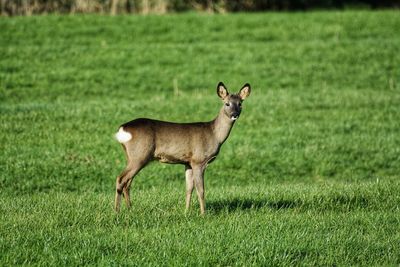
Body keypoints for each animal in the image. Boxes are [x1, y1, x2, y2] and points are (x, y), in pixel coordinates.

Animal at [113, 81, 250, 216]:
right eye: (227, 103)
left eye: (240, 104)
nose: (234, 115)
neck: (214, 134)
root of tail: (122, 129)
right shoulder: (199, 160)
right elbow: (201, 189)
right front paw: (203, 214)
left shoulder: (188, 162)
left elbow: (189, 188)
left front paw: (186, 212)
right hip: (139, 155)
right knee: (121, 179)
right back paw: (117, 211)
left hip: (132, 157)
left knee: (127, 183)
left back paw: (130, 209)